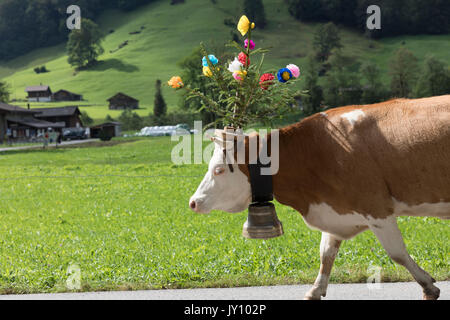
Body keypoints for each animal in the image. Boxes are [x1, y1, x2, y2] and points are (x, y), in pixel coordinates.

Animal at [188, 95, 448, 300]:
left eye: (218, 170)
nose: (193, 202)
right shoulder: (336, 209)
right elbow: (326, 254)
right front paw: (315, 290)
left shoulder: (376, 207)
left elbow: (397, 253)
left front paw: (428, 286)